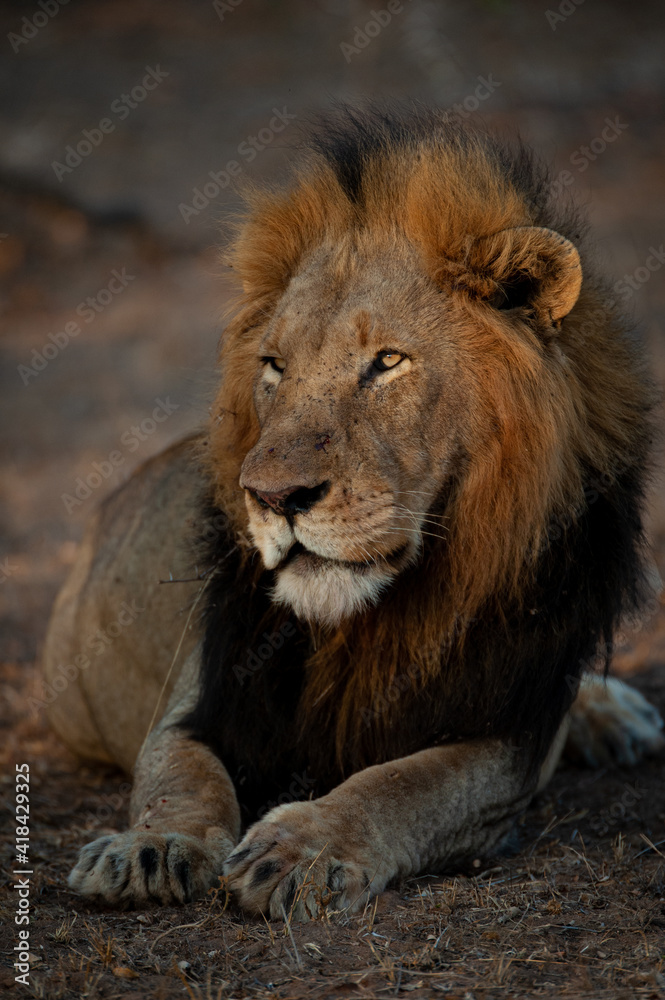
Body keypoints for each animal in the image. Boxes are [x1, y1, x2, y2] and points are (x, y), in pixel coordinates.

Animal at [44, 105, 660, 916]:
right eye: (275, 367)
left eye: (388, 362)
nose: (273, 498)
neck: (368, 620)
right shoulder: (205, 694)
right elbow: (180, 776)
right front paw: (152, 848)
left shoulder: (507, 735)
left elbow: (402, 784)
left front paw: (304, 848)